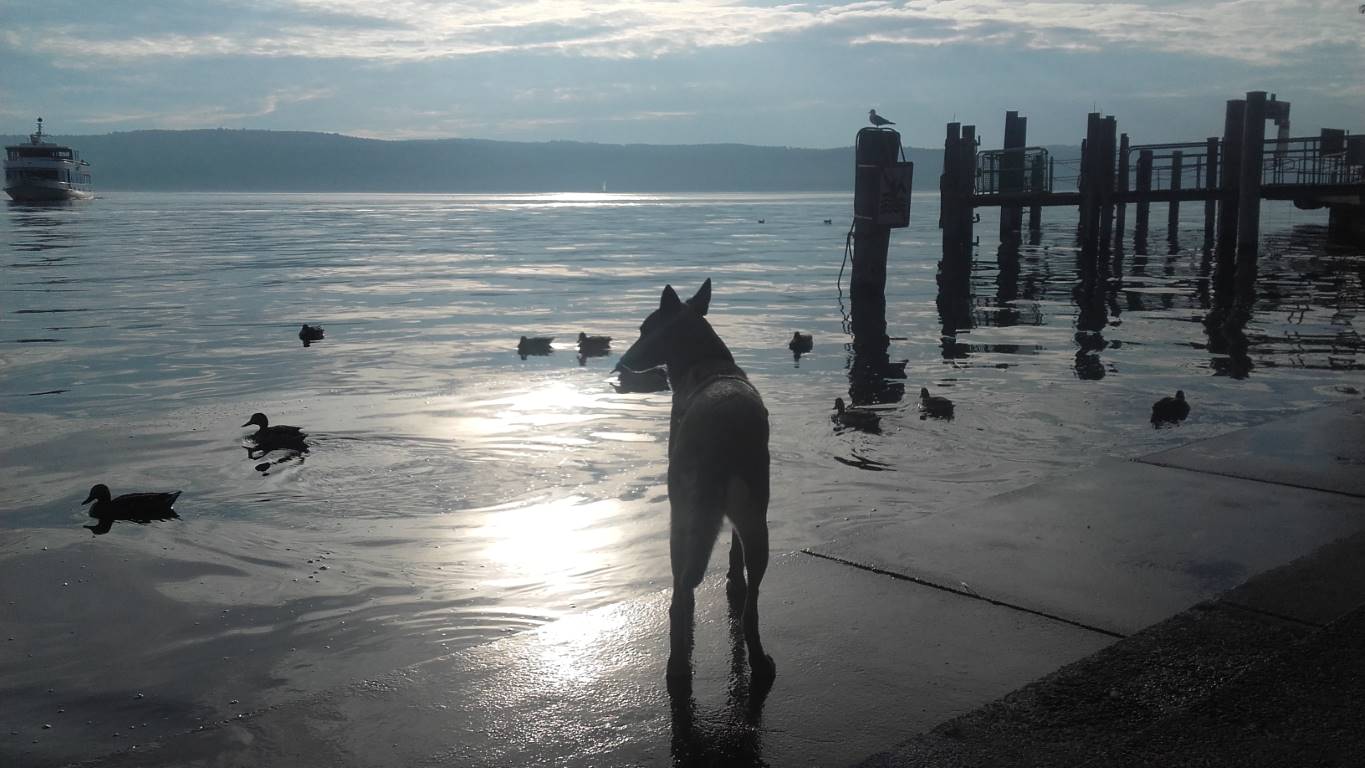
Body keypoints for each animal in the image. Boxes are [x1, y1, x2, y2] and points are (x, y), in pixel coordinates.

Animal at [616, 279, 775, 687]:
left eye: (645, 328)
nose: (622, 362)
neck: (706, 363)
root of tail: (723, 434)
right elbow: (735, 550)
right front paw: (734, 578)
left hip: (681, 513)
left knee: (680, 593)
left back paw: (677, 666)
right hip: (756, 519)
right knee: (751, 605)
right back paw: (760, 662)